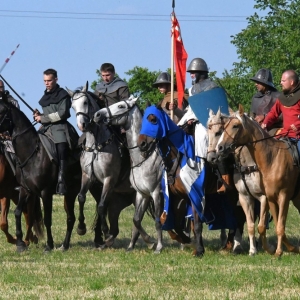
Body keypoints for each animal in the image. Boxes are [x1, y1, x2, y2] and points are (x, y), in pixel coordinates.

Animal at [67, 85, 157, 251]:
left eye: (85, 102)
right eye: (73, 106)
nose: (82, 125)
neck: (96, 145)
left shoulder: (109, 179)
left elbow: (101, 206)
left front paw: (105, 232)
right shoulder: (87, 176)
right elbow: (81, 197)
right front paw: (81, 227)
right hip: (122, 202)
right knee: (127, 223)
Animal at [136, 105, 246, 255]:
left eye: (153, 120)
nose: (141, 144)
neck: (177, 157)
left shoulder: (195, 195)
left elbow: (197, 224)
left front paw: (199, 250)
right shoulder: (177, 197)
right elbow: (177, 224)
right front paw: (185, 240)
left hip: (234, 194)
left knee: (238, 218)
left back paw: (233, 245)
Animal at [206, 109, 274, 254]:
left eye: (219, 132)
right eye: (207, 132)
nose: (211, 157)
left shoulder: (260, 196)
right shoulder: (237, 196)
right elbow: (239, 217)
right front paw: (234, 244)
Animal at [216, 105, 300, 255]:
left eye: (235, 126)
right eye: (224, 126)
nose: (219, 147)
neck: (273, 159)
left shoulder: (279, 196)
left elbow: (274, 225)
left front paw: (277, 251)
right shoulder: (268, 197)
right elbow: (270, 225)